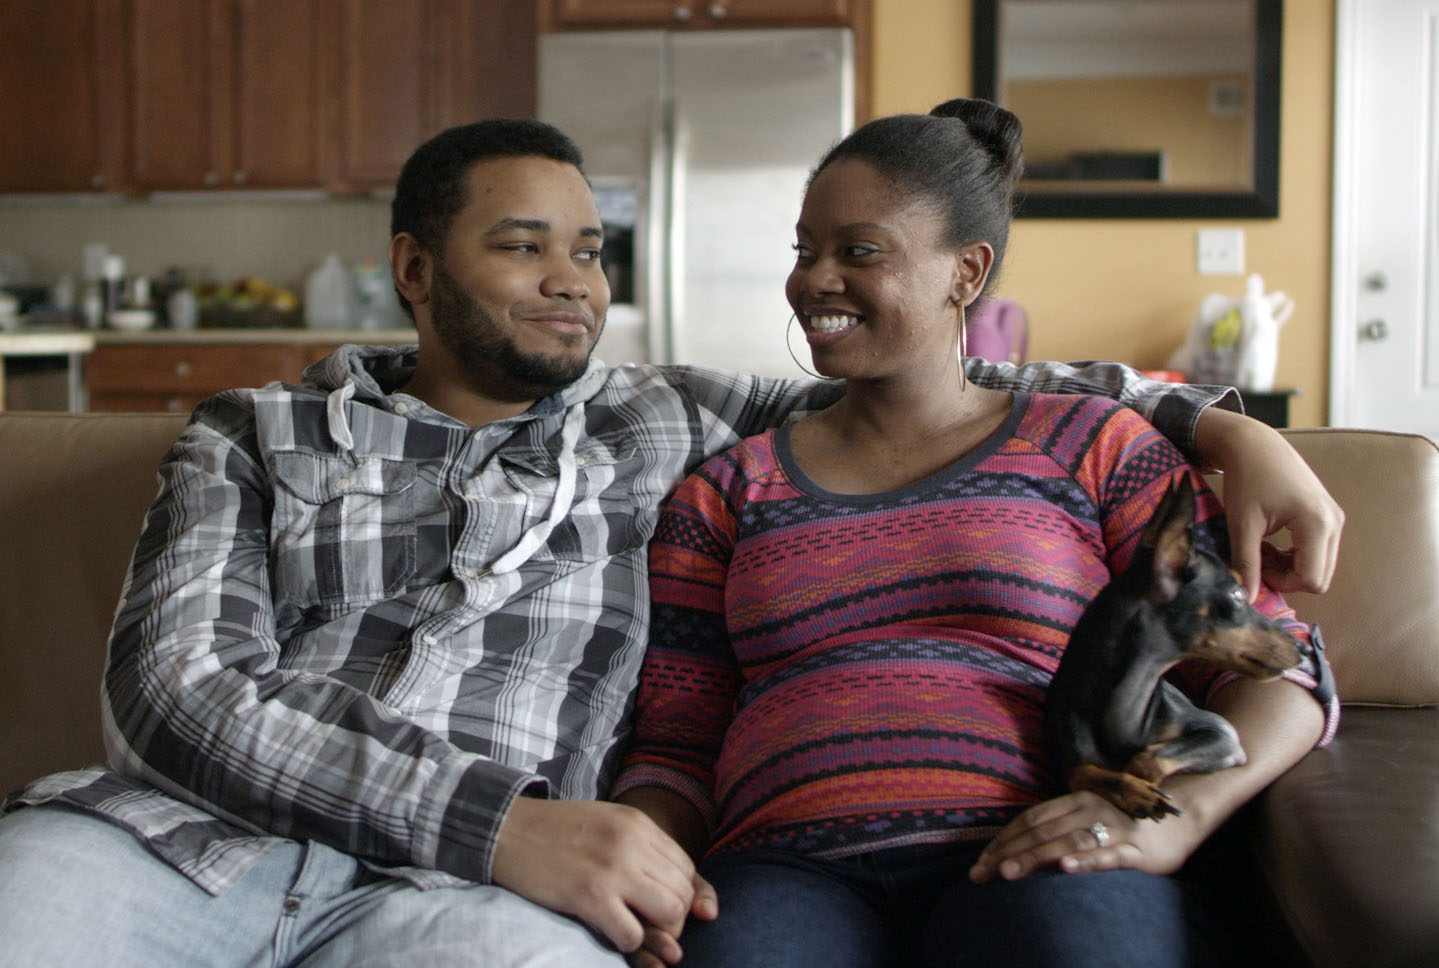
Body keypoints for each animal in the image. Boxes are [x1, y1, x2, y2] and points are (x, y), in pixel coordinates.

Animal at [1047, 474, 1318, 816]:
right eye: (1238, 596)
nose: (1306, 649)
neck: (1124, 707)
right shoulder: (1069, 759)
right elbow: (1081, 773)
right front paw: (1132, 791)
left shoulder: (1223, 735)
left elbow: (1145, 759)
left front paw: (1138, 782)